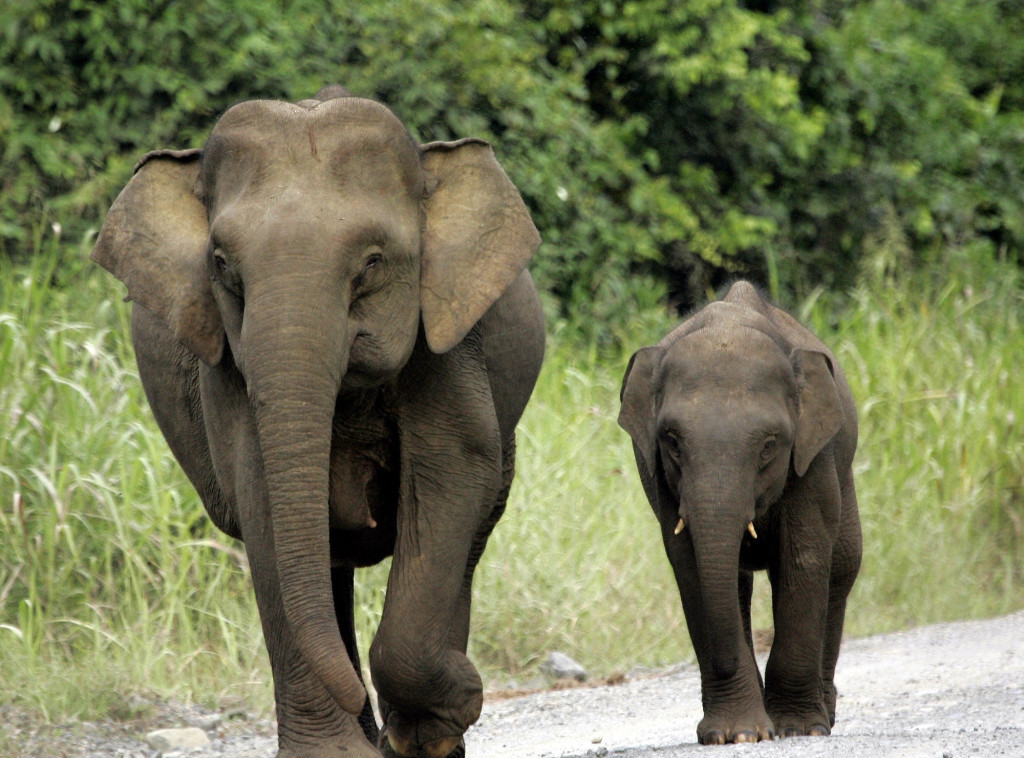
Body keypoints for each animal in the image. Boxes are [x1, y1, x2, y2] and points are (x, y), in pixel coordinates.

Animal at [92, 88, 548, 758]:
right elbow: (262, 498)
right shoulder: (227, 366)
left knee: (471, 527)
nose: (362, 705)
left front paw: (451, 707)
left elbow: (451, 473)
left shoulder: (448, 344)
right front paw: (341, 751)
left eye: (374, 264)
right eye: (222, 266)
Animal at [618, 280, 860, 741]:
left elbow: (804, 558)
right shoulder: (661, 480)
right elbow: (691, 565)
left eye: (768, 446)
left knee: (841, 568)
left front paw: (797, 729)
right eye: (671, 441)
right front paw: (737, 734)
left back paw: (825, 716)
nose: (724, 661)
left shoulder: (812, 458)